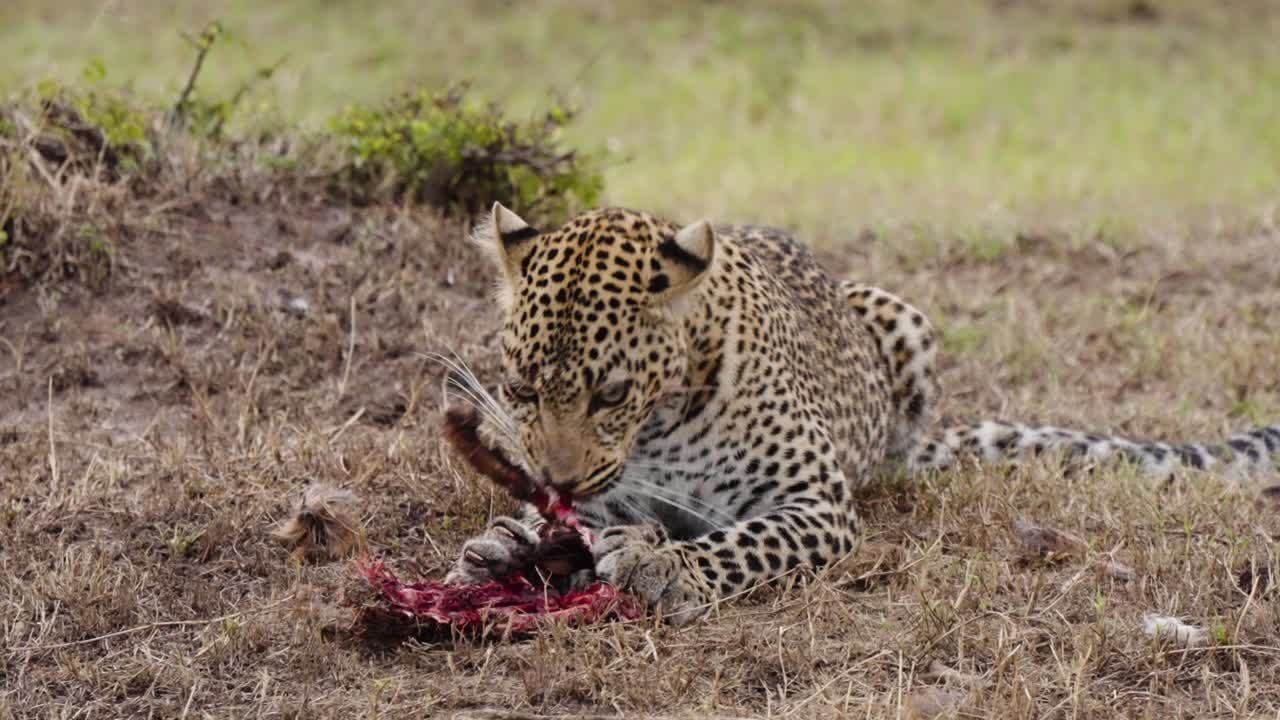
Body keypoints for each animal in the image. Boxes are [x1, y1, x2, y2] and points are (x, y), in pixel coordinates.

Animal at [443, 202, 1280, 625]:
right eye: (519, 388)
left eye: (612, 393)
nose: (558, 482)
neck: (657, 421)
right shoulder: (606, 491)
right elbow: (571, 519)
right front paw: (510, 544)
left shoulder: (814, 501)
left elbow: (747, 541)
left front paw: (666, 564)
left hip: (904, 322)